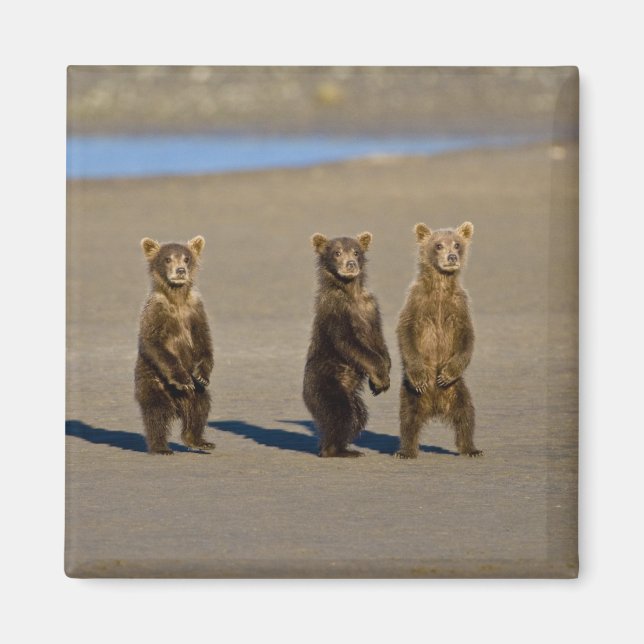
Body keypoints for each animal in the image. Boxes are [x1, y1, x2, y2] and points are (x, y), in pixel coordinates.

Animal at [134, 235, 215, 455]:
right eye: (167, 259)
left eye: (186, 258)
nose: (180, 271)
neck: (176, 299)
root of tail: (178, 404)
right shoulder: (155, 312)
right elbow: (153, 343)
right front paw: (183, 379)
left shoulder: (195, 310)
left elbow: (204, 341)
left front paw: (201, 374)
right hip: (153, 382)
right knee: (156, 413)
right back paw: (160, 446)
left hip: (196, 396)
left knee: (200, 407)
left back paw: (199, 440)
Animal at [303, 232, 391, 457]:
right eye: (337, 252)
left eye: (356, 251)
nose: (350, 264)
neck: (351, 292)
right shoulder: (336, 311)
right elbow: (350, 344)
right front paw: (380, 377)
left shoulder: (370, 308)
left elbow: (379, 341)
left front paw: (380, 380)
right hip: (325, 384)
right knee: (339, 414)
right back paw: (335, 450)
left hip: (351, 395)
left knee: (358, 416)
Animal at [395, 222, 482, 459]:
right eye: (438, 245)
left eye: (457, 244)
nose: (452, 256)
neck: (441, 286)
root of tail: (435, 407)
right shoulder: (417, 302)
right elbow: (405, 332)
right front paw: (419, 375)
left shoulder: (459, 306)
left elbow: (467, 338)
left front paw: (446, 373)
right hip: (411, 395)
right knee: (408, 419)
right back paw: (406, 451)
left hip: (458, 390)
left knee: (465, 415)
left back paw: (471, 448)